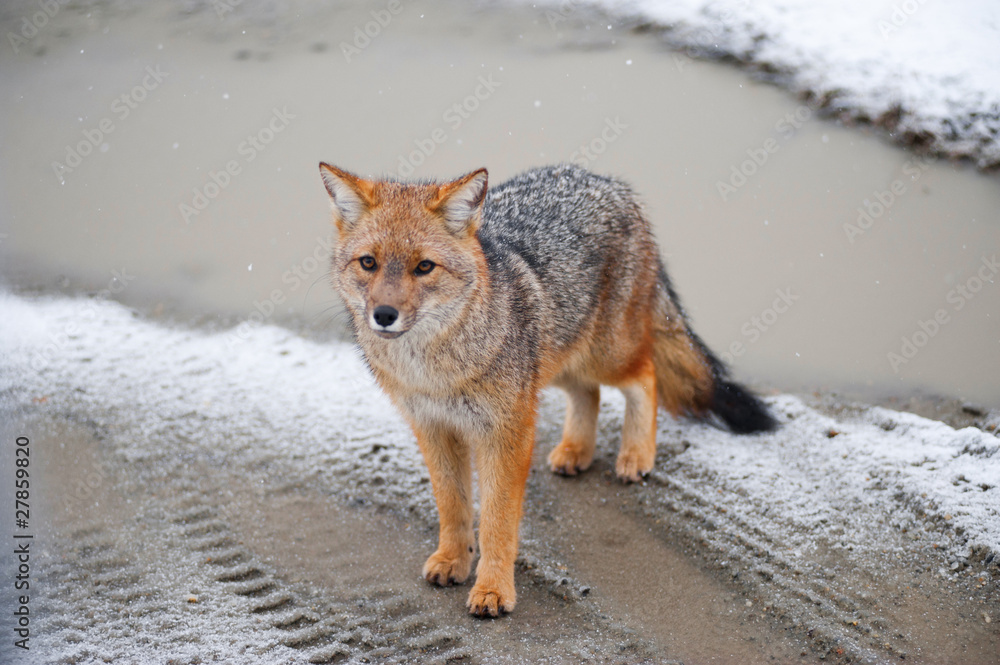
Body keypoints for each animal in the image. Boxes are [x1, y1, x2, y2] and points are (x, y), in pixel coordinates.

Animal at [318, 162, 776, 618]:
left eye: (424, 267)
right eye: (369, 263)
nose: (384, 315)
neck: (434, 371)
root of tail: (608, 182)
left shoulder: (508, 430)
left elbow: (497, 521)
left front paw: (493, 589)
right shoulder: (433, 428)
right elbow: (452, 506)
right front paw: (453, 559)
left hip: (604, 356)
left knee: (645, 378)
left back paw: (636, 455)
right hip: (558, 360)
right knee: (589, 394)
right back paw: (576, 451)